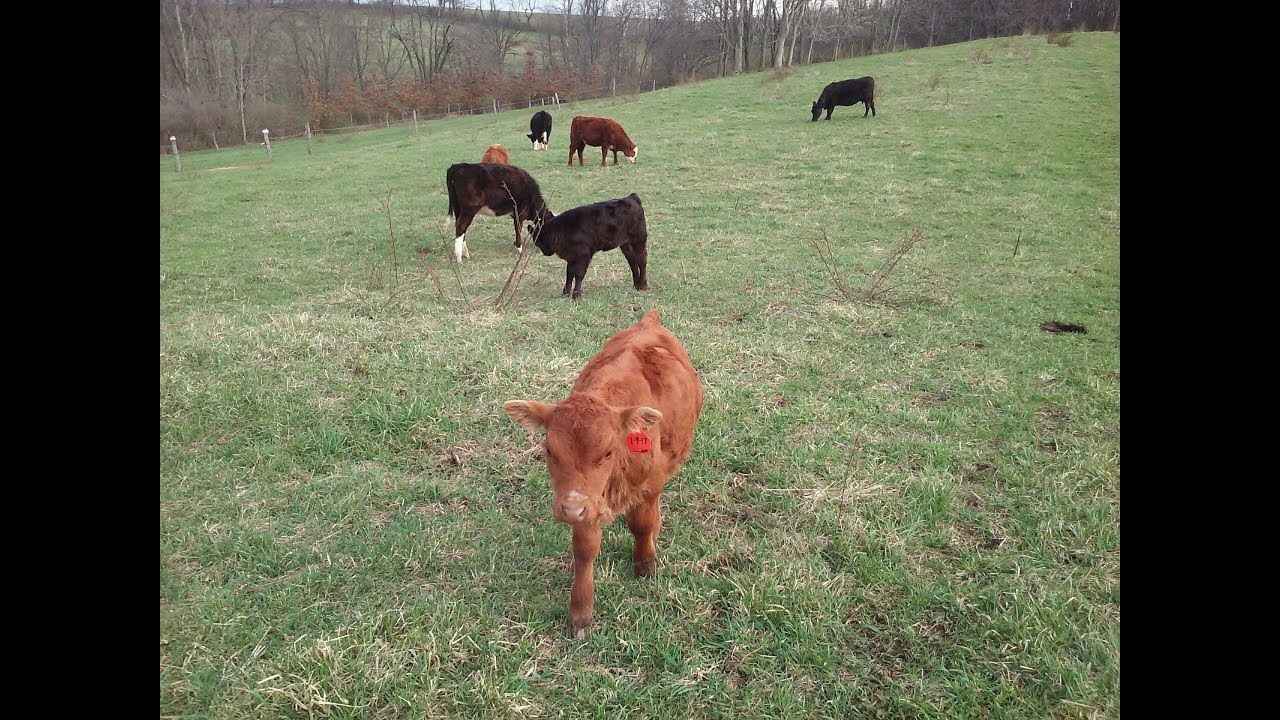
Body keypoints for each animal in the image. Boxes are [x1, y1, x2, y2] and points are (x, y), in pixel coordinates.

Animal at [504, 309, 704, 637]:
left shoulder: (649, 484)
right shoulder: (587, 500)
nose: (571, 508)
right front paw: (580, 613)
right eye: (548, 450)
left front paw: (645, 564)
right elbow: (585, 549)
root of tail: (649, 319)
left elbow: (642, 524)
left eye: (608, 452)